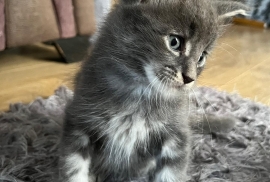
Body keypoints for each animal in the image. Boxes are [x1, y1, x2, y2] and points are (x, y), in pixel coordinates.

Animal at [59, 0, 249, 182]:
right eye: (174, 42)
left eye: (201, 57)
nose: (190, 78)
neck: (140, 92)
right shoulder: (78, 123)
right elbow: (74, 168)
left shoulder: (177, 135)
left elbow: (171, 174)